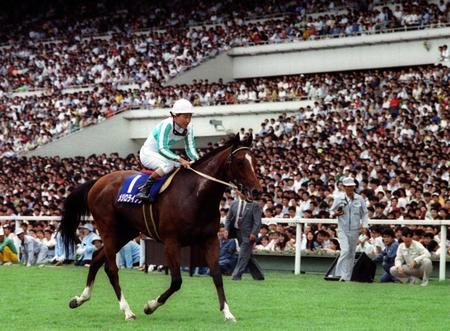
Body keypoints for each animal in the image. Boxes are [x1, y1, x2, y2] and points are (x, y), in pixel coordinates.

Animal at [59, 134, 264, 322]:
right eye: (240, 162)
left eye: (254, 161)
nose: (257, 191)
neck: (195, 195)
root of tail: (97, 182)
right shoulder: (171, 242)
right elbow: (177, 281)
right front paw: (150, 306)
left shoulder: (210, 239)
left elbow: (217, 275)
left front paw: (227, 313)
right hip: (109, 229)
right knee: (111, 269)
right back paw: (127, 311)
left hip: (126, 232)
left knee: (95, 258)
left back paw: (79, 299)